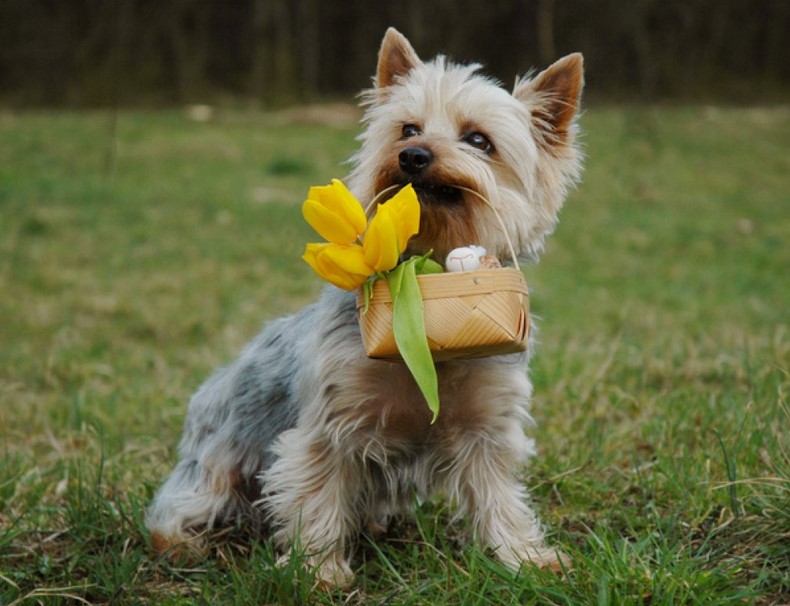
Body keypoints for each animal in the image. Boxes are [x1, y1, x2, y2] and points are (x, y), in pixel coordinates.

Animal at [147, 27, 580, 588]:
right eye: (407, 128)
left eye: (479, 140)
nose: (413, 154)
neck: (425, 281)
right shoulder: (330, 424)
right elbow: (318, 493)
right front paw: (318, 571)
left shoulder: (487, 424)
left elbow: (498, 496)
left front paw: (524, 557)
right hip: (219, 457)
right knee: (182, 503)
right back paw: (181, 544)